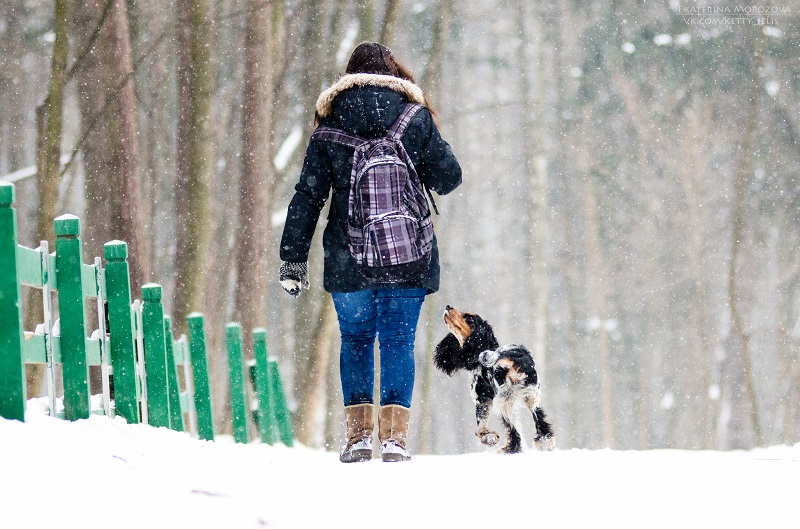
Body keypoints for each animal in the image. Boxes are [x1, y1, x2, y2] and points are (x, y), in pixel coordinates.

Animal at [434, 308, 552, 452]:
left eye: (470, 318)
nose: (448, 306)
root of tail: (513, 355)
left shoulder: (482, 400)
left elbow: (480, 427)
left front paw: (489, 438)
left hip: (505, 400)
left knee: (515, 427)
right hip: (531, 395)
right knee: (539, 420)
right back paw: (545, 444)